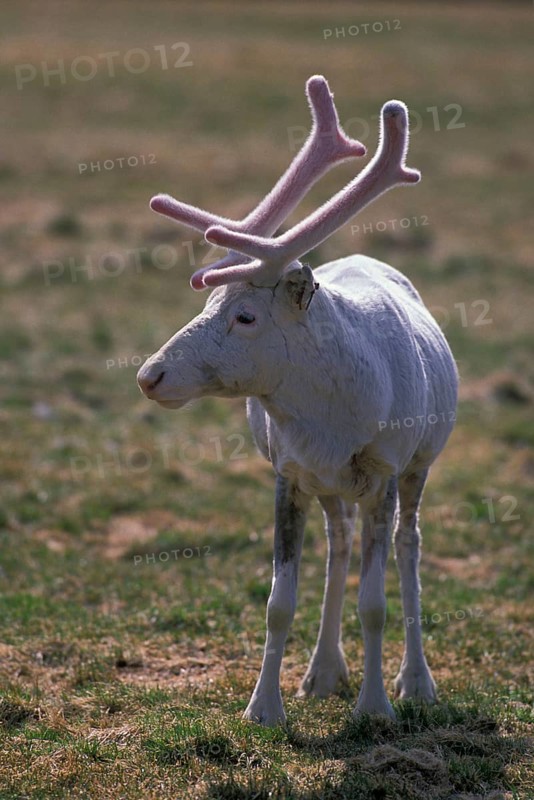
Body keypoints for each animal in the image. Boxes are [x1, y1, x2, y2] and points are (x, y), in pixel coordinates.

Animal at [137, 76, 458, 726]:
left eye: (245, 315)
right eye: (207, 304)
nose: (149, 374)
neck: (332, 420)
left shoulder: (384, 469)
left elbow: (374, 602)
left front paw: (375, 708)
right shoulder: (288, 471)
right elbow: (278, 603)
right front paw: (264, 708)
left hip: (419, 464)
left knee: (409, 546)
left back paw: (416, 681)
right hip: (329, 488)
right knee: (338, 545)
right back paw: (323, 672)